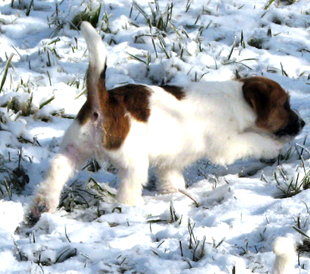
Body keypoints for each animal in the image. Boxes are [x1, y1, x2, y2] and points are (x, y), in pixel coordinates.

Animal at [27, 22, 306, 225]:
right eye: (285, 105)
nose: (303, 124)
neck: (239, 100)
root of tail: (103, 101)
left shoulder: (170, 161)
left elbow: (171, 178)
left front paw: (173, 194)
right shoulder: (228, 146)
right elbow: (255, 141)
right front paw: (275, 146)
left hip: (75, 148)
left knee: (56, 170)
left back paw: (43, 204)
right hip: (133, 162)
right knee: (127, 189)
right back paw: (131, 210)